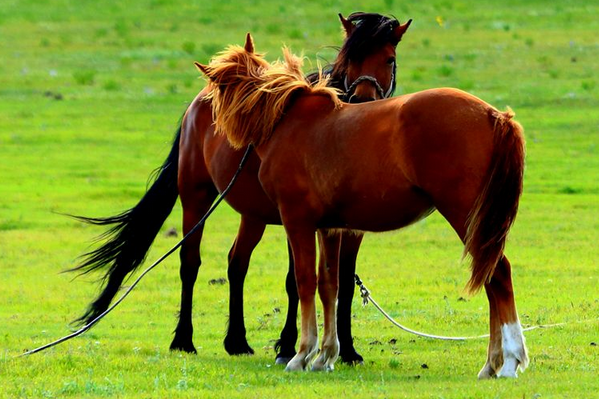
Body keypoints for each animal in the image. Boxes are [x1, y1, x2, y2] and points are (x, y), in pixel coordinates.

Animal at [68, 12, 410, 364]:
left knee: (237, 263)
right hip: (196, 197)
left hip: (253, 214)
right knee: (190, 262)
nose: (364, 99)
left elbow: (343, 280)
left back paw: (236, 341)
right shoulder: (297, 217)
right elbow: (295, 279)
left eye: (389, 59)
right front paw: (287, 346)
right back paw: (184, 339)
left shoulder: (349, 227)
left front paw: (348, 350)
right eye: (349, 58)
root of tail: (202, 97)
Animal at [198, 34, 528, 378]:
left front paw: (302, 354)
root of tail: (493, 115)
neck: (287, 122)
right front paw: (325, 356)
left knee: (498, 274)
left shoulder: (297, 222)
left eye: (216, 89)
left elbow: (305, 281)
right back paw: (492, 364)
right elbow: (329, 284)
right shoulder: (329, 228)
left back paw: (510, 361)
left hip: (466, 216)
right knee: (491, 277)